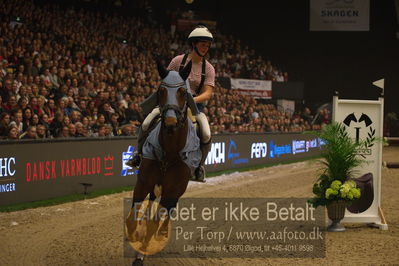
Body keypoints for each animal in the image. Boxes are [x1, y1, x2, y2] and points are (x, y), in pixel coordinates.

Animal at [126, 60, 202, 264]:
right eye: (161, 90)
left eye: (183, 91)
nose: (169, 121)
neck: (169, 153)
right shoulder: (143, 182)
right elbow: (132, 219)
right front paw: (135, 235)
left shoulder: (173, 190)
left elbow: (155, 222)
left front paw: (141, 254)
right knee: (152, 201)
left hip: (177, 190)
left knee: (168, 210)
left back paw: (162, 232)